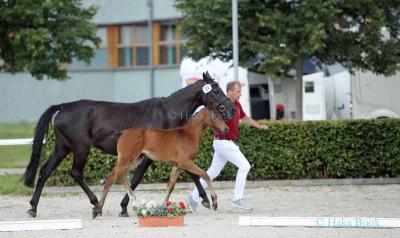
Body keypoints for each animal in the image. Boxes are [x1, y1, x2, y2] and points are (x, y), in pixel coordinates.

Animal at [93, 108, 228, 218]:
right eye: (216, 115)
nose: (226, 128)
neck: (187, 135)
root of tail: (124, 132)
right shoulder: (185, 162)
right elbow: (205, 174)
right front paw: (214, 202)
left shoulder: (177, 165)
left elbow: (170, 186)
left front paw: (163, 208)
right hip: (127, 159)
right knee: (112, 177)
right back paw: (99, 209)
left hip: (134, 160)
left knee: (118, 175)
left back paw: (127, 203)